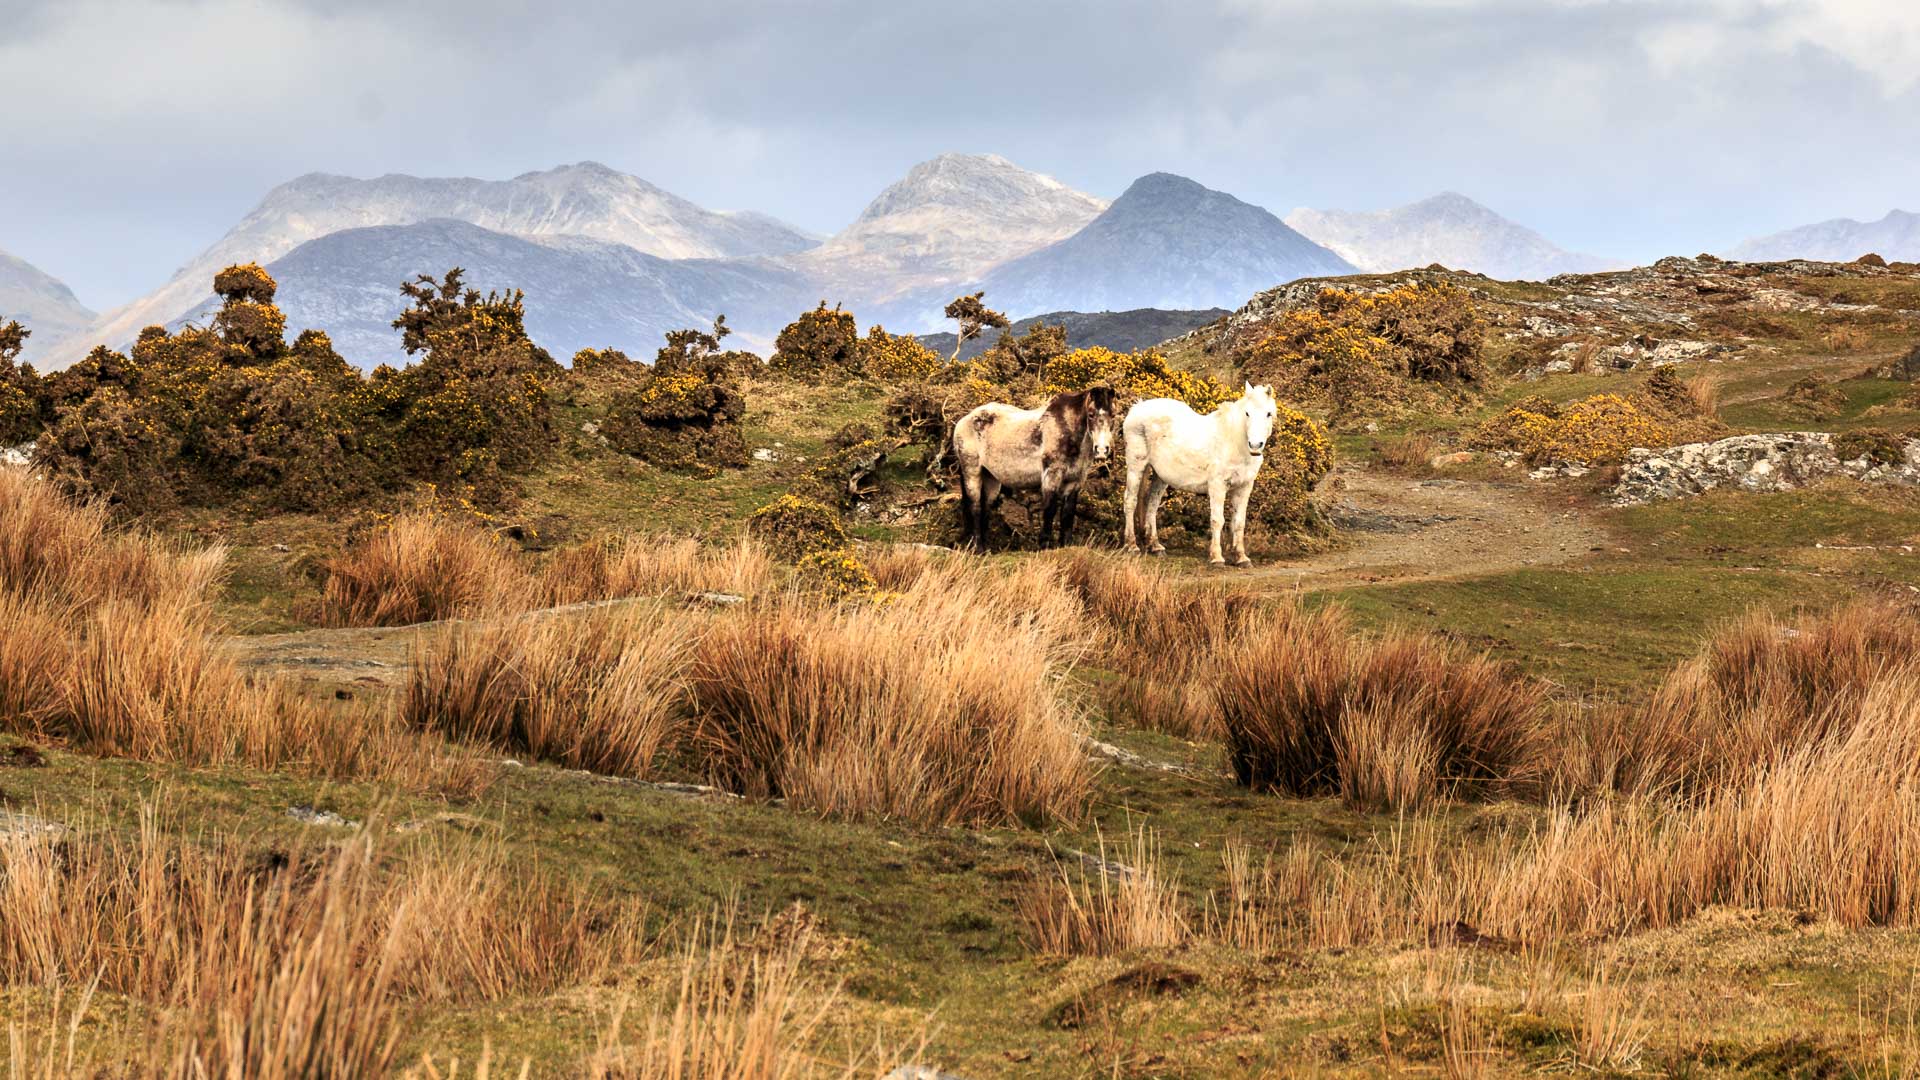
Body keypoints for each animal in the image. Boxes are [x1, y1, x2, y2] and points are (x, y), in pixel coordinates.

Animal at [948, 384, 1121, 549]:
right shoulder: (1052, 475)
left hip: (990, 478)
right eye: (1091, 414)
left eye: (1113, 415)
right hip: (972, 471)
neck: (1068, 429)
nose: (1101, 450)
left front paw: (1066, 544)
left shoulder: (1075, 481)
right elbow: (1050, 509)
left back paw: (985, 550)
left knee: (986, 508)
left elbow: (1068, 514)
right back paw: (977, 548)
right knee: (976, 508)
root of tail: (965, 420)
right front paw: (1044, 545)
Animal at [1121, 380, 1282, 564]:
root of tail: (1137, 408)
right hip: (1136, 466)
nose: (1255, 446)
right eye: (1247, 413)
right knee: (1130, 501)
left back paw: (1155, 546)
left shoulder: (1244, 487)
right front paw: (1217, 557)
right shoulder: (1217, 486)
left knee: (1152, 504)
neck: (1234, 443)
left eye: (1268, 414)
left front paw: (1241, 557)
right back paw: (1132, 546)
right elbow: (1217, 520)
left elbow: (1239, 523)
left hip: (1160, 476)